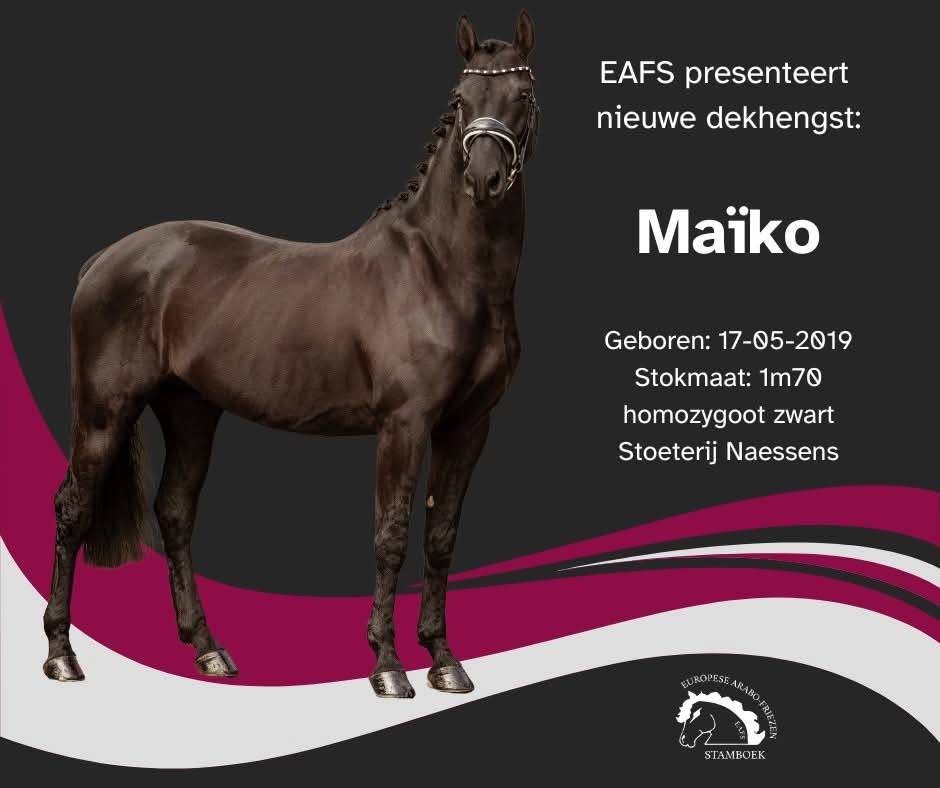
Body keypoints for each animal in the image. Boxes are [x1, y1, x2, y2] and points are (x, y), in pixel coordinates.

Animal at [42, 11, 540, 699]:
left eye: (522, 95)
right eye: (462, 100)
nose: (484, 181)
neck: (443, 269)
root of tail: (103, 261)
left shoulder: (469, 427)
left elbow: (441, 538)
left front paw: (444, 660)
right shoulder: (404, 426)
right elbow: (391, 537)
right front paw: (388, 667)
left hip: (190, 411)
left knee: (174, 512)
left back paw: (209, 650)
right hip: (103, 414)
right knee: (73, 510)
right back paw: (63, 655)